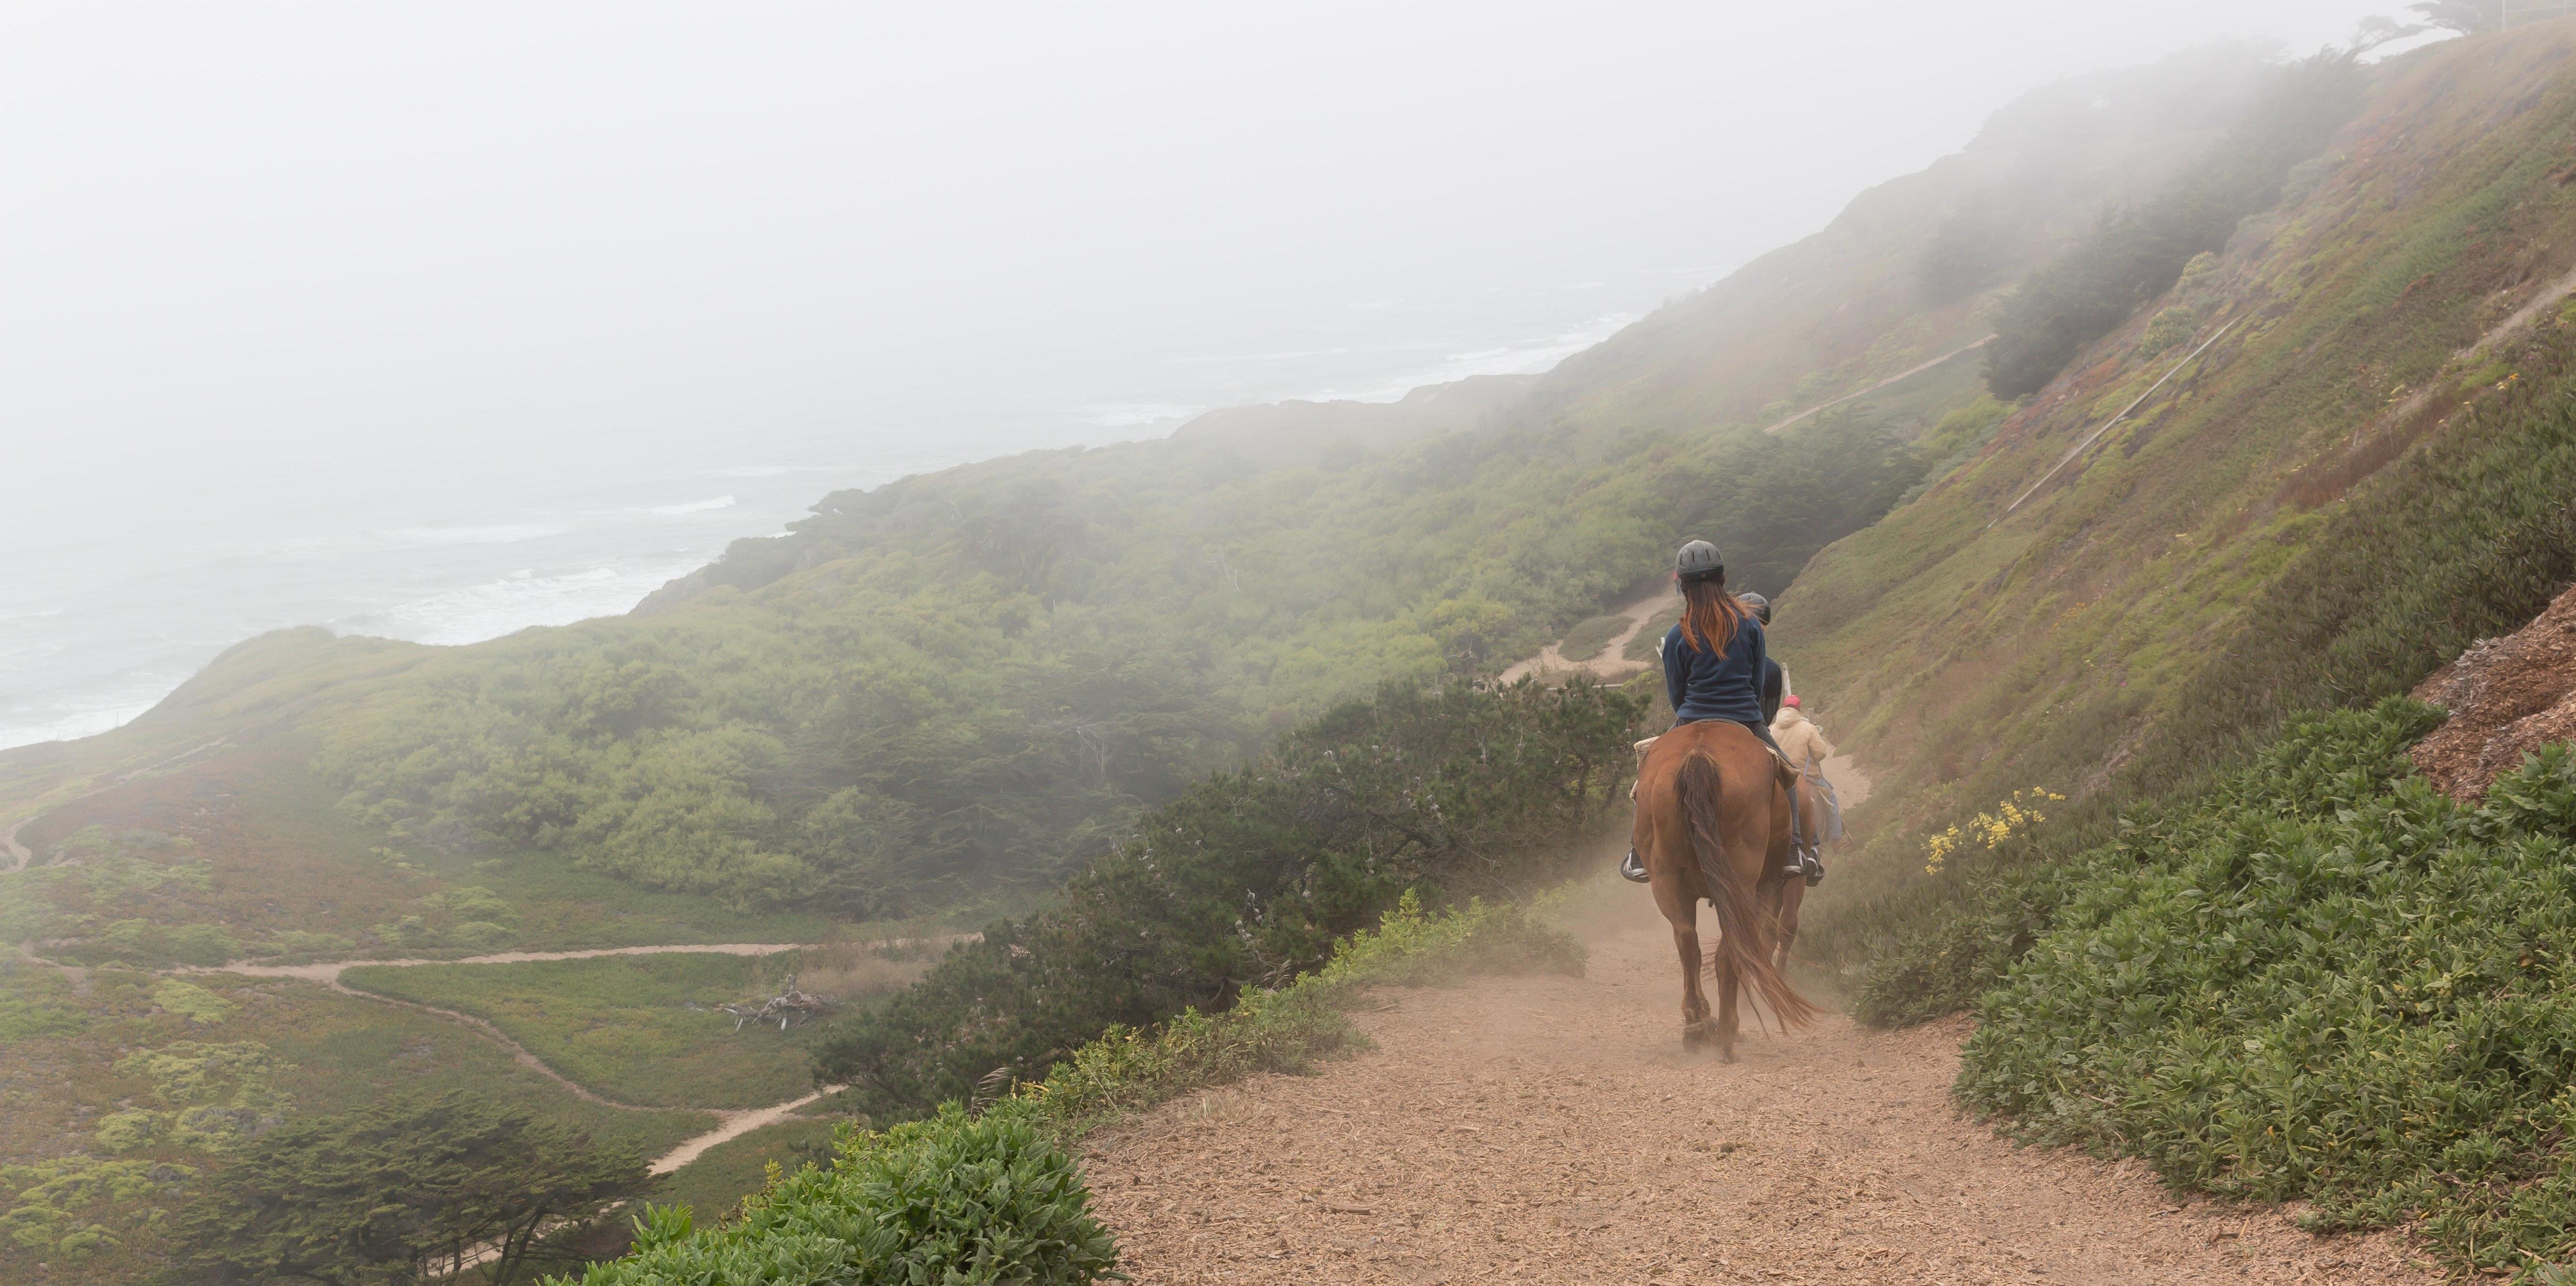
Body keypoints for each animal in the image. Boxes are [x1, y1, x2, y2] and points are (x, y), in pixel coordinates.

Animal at [1638, 721, 1824, 1062]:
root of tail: (1698, 755)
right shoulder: (1773, 885)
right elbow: (1769, 937)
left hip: (1667, 881)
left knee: (1688, 942)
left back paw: (1697, 1024)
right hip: (1746, 884)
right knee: (1735, 947)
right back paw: (1727, 1030)